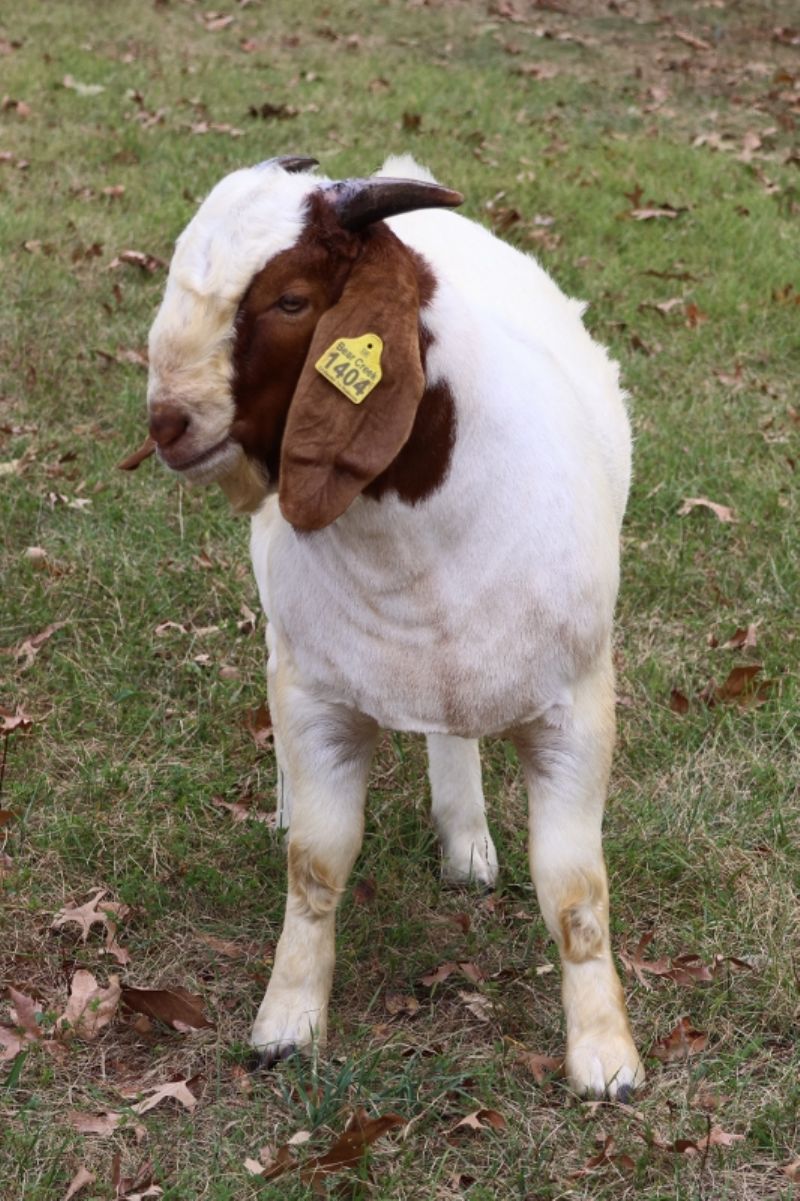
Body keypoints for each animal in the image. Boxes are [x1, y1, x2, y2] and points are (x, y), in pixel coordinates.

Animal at [139, 153, 644, 1098]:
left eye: (292, 299)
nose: (168, 423)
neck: (416, 546)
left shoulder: (576, 707)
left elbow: (575, 893)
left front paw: (606, 1057)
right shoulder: (319, 700)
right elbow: (316, 864)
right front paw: (287, 1024)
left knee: (454, 727)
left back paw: (467, 841)